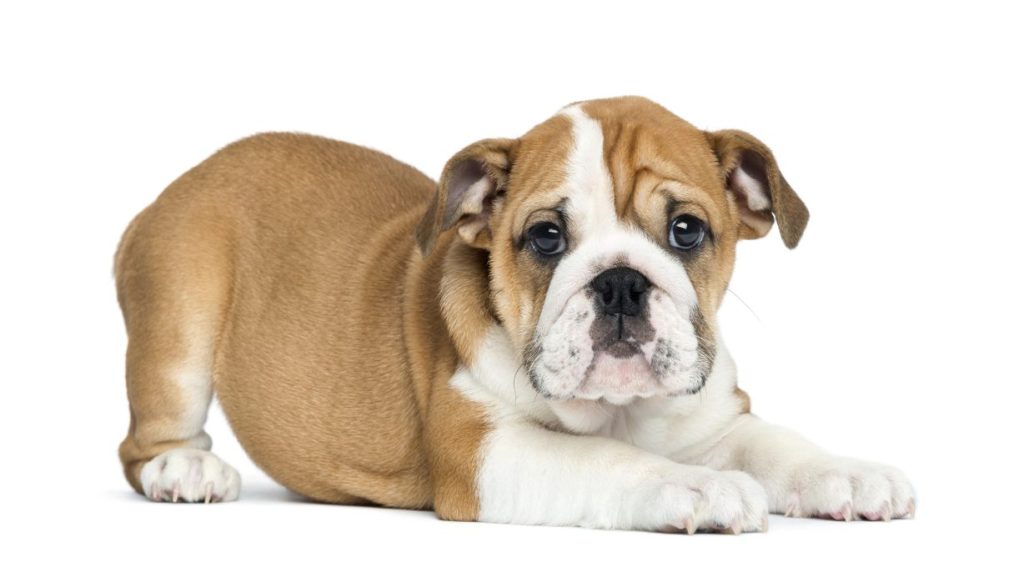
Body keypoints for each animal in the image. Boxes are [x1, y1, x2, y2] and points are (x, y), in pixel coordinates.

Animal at [116, 94, 917, 532]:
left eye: (687, 230)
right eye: (547, 237)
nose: (621, 282)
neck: (620, 412)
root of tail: (169, 190)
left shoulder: (713, 419)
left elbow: (772, 443)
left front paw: (846, 473)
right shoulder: (484, 449)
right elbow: (604, 459)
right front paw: (697, 486)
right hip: (179, 325)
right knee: (146, 439)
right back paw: (184, 468)